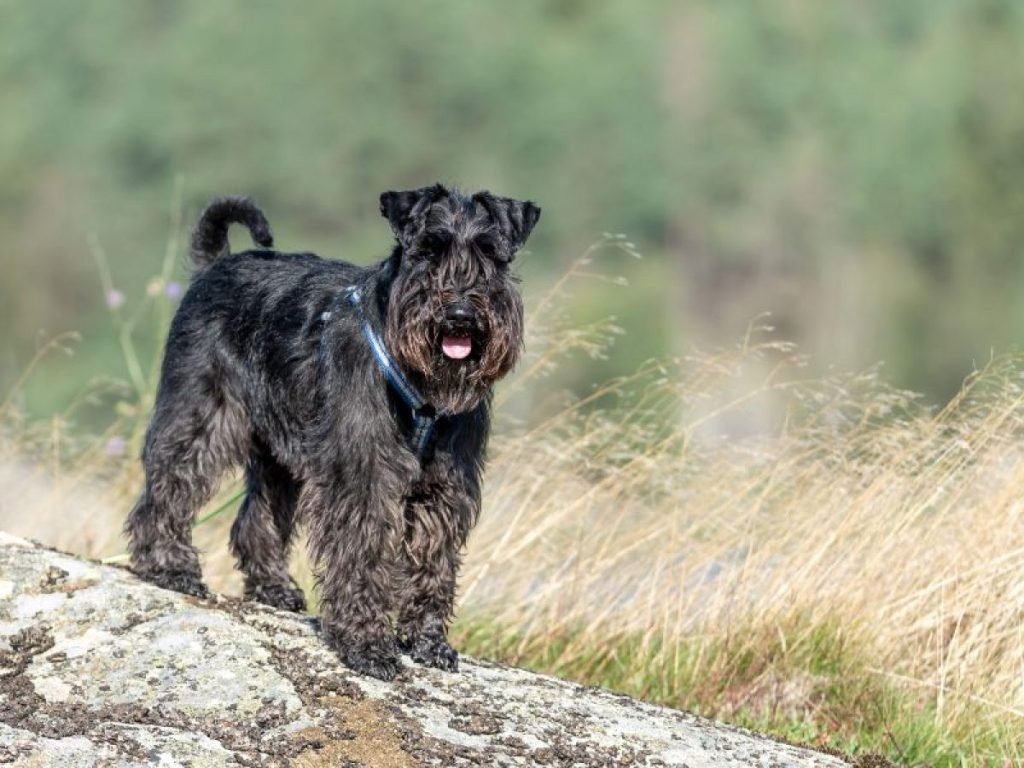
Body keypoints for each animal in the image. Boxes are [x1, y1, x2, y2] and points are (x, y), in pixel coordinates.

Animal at [126, 186, 540, 679]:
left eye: (489, 253)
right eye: (428, 250)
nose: (459, 313)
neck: (420, 386)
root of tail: (216, 265)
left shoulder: (444, 487)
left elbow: (433, 563)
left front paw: (428, 641)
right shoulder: (362, 476)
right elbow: (361, 556)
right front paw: (367, 645)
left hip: (279, 456)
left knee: (255, 518)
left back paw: (274, 587)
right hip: (202, 415)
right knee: (168, 487)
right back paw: (169, 567)